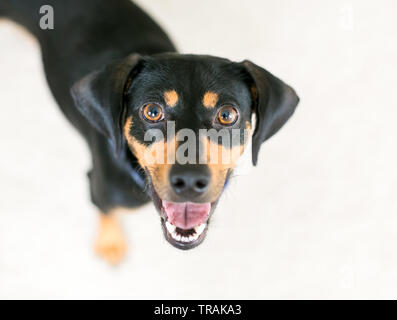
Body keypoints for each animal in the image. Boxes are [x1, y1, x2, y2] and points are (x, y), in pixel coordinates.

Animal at [0, 0, 296, 264]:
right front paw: (110, 242)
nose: (190, 181)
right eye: (152, 111)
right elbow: (107, 213)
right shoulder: (98, 188)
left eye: (227, 115)